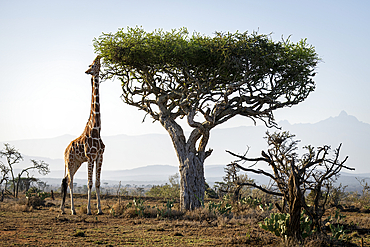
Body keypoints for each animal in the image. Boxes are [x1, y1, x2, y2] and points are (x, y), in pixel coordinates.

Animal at [60, 56, 105, 214]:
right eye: (91, 65)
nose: (99, 57)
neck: (97, 129)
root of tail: (65, 150)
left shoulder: (100, 156)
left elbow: (97, 183)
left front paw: (99, 209)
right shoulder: (90, 157)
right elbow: (90, 183)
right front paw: (89, 210)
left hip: (77, 163)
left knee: (65, 180)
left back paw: (63, 209)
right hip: (70, 162)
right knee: (69, 182)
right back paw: (72, 210)